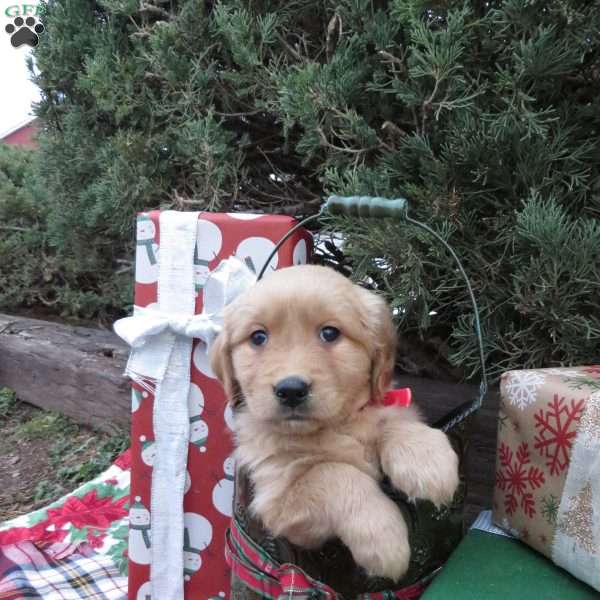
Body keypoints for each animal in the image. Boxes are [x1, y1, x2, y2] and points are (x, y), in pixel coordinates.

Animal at [211, 264, 460, 580]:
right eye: (258, 337)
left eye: (329, 333)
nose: (291, 390)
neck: (336, 427)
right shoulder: (278, 502)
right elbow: (333, 472)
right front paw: (383, 538)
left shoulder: (382, 404)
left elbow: (393, 419)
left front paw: (426, 462)